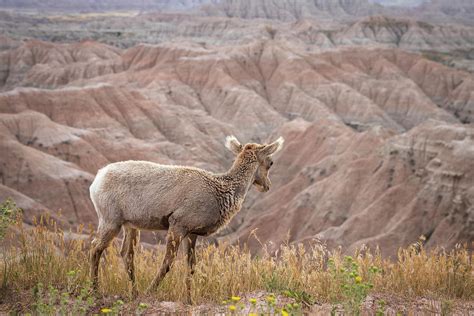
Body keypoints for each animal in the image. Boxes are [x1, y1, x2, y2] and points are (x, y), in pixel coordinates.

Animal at [89, 135, 284, 300]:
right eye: (271, 162)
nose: (267, 186)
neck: (220, 191)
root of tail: (97, 180)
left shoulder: (191, 234)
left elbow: (190, 267)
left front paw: (189, 300)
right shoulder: (177, 226)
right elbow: (167, 262)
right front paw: (149, 292)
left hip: (130, 227)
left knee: (126, 255)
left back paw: (134, 293)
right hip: (110, 221)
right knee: (95, 248)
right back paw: (95, 290)